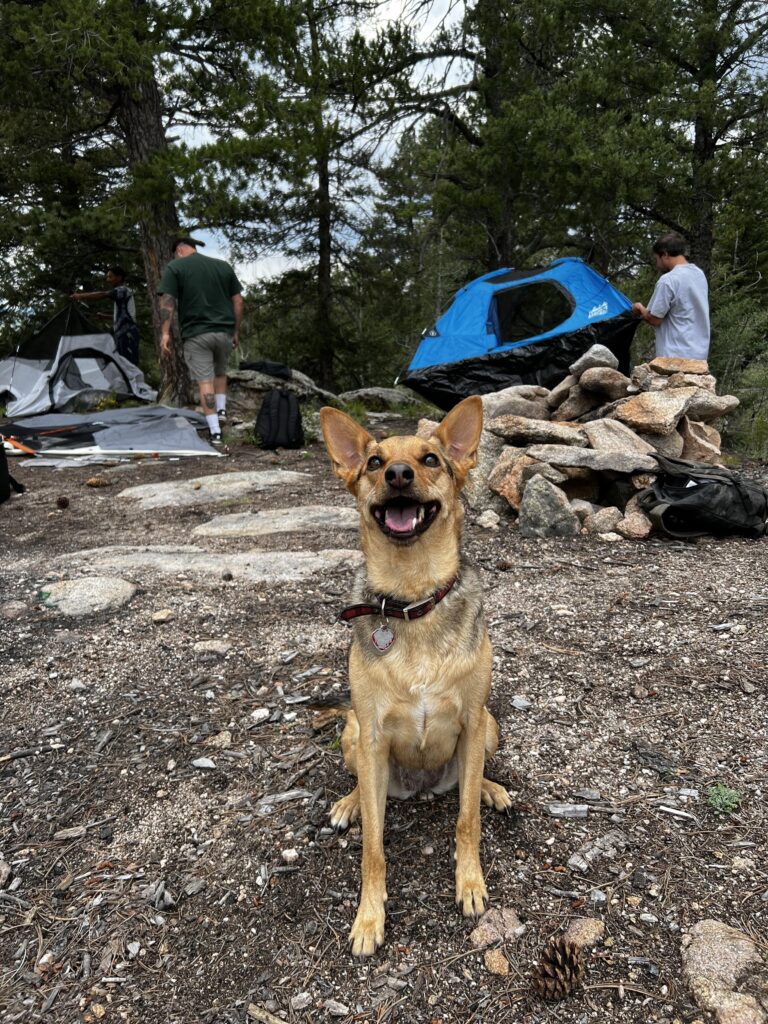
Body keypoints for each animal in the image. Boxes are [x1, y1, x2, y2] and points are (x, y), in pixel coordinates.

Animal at [319, 395, 512, 954]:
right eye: (373, 462)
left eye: (430, 459)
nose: (399, 474)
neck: (413, 599)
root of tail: (422, 787)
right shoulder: (372, 733)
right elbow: (373, 848)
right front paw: (368, 917)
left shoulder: (472, 720)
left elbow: (466, 820)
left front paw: (470, 883)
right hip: (352, 733)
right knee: (363, 785)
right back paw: (350, 803)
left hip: (490, 728)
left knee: (471, 780)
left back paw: (491, 788)